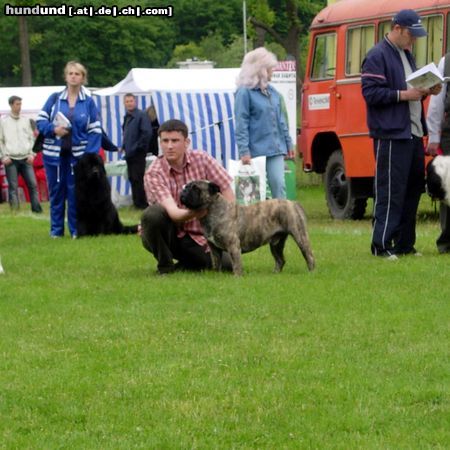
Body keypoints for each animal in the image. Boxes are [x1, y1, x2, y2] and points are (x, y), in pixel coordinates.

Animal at [180, 181, 316, 276]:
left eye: (196, 188)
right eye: (187, 186)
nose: (184, 190)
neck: (213, 210)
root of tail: (293, 203)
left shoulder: (233, 246)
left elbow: (236, 264)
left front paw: (237, 277)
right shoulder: (214, 248)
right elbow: (216, 263)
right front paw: (217, 276)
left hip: (300, 236)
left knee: (309, 256)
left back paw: (311, 273)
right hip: (276, 244)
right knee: (280, 260)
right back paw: (275, 274)